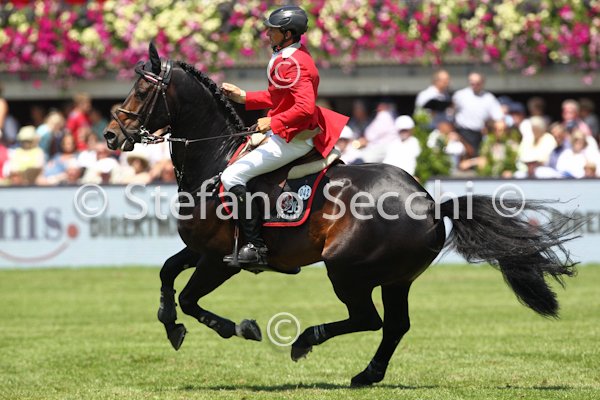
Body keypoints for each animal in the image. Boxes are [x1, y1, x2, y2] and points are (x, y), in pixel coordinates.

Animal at [104, 43, 579, 386]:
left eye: (142, 91)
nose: (111, 135)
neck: (216, 159)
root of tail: (427, 201)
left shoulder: (223, 260)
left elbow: (190, 297)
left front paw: (241, 328)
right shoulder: (200, 249)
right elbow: (167, 274)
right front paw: (171, 327)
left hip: (347, 268)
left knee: (369, 319)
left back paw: (304, 342)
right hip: (396, 278)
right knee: (395, 325)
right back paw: (367, 374)